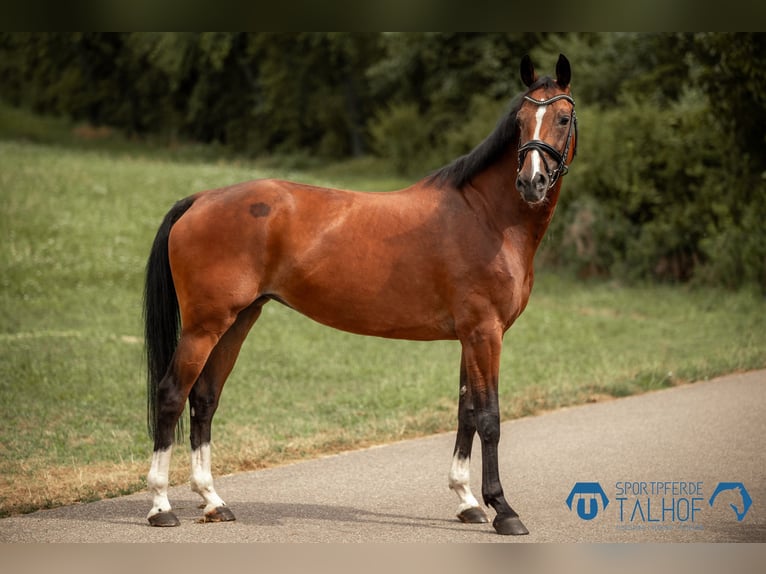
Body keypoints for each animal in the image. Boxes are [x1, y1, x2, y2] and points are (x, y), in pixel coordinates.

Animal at [144, 51, 580, 536]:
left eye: (563, 118)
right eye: (520, 122)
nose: (531, 183)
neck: (485, 216)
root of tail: (202, 198)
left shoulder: (471, 336)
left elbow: (466, 411)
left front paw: (467, 501)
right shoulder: (485, 333)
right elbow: (489, 417)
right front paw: (503, 509)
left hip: (237, 321)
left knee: (204, 399)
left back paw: (212, 501)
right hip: (203, 326)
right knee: (171, 395)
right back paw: (161, 507)